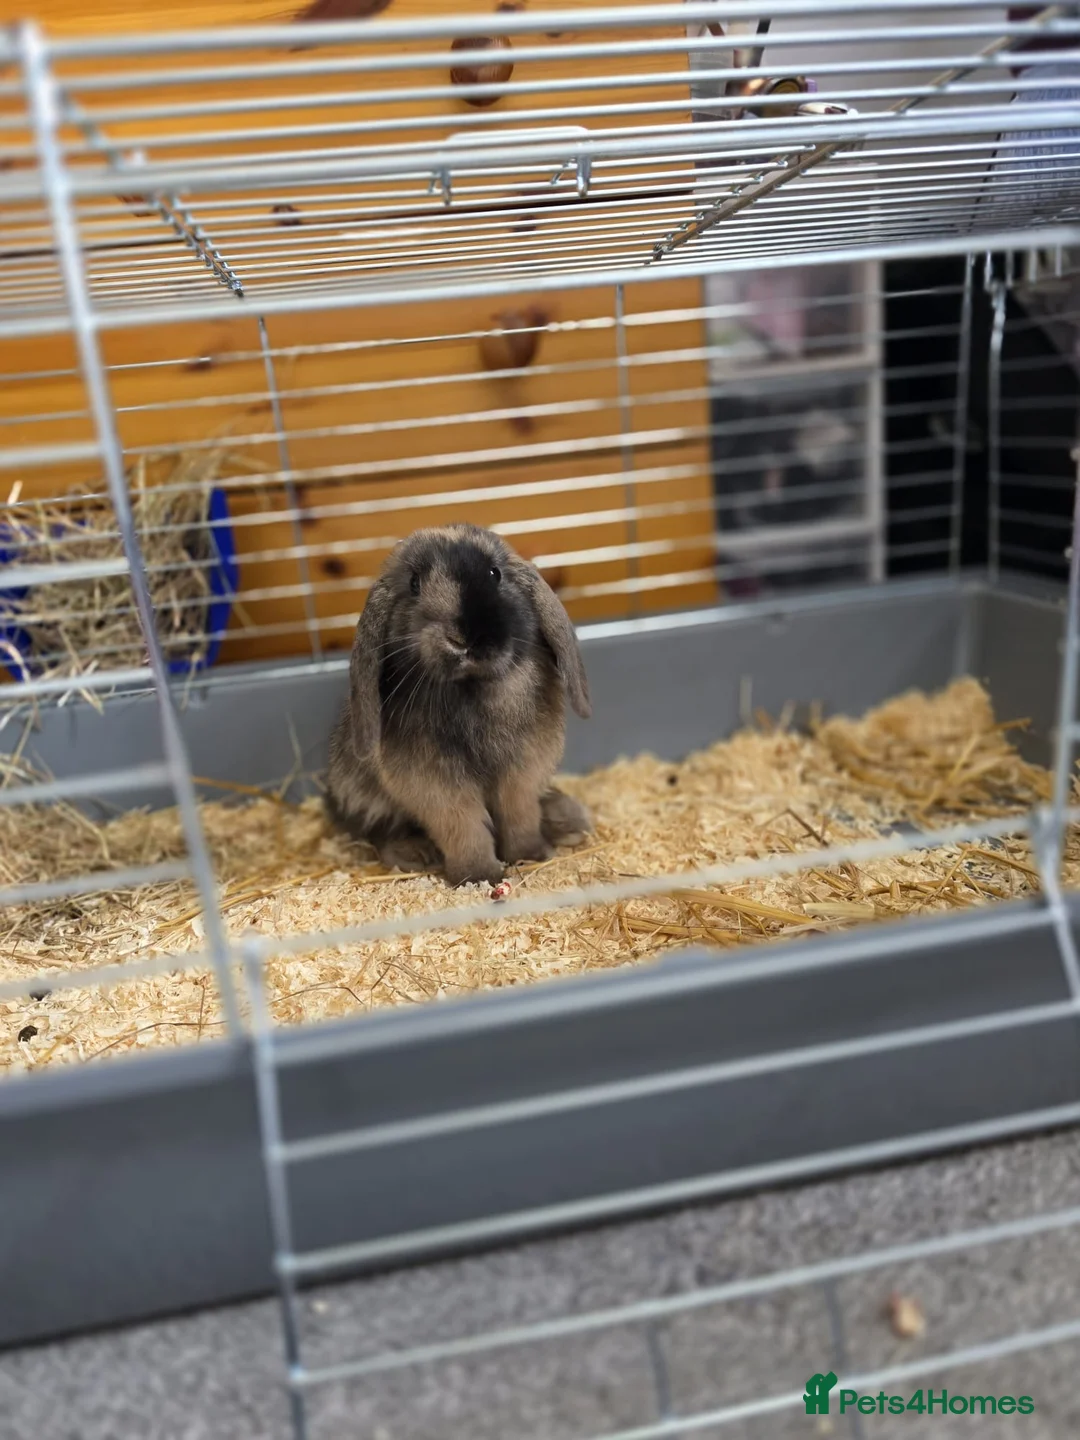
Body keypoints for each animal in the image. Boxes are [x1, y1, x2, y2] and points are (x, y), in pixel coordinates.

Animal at [326, 524, 593, 887]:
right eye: (414, 583)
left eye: (495, 574)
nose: (465, 638)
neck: (470, 688)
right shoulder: (436, 787)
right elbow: (462, 827)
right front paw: (478, 876)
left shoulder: (523, 771)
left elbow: (519, 814)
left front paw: (529, 856)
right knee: (381, 831)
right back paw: (415, 853)